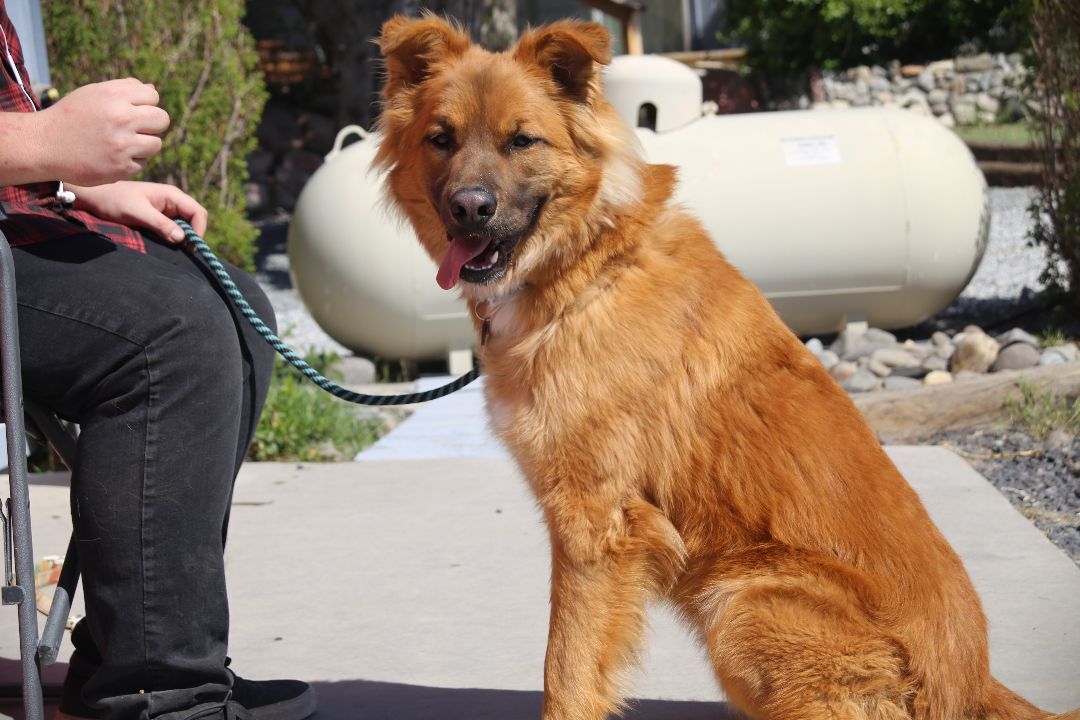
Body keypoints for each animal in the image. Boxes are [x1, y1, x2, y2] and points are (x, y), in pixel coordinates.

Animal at [375, 15, 1075, 720]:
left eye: (522, 140)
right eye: (441, 139)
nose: (470, 207)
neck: (587, 268)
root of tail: (973, 684)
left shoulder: (596, 522)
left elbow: (566, 668)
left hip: (744, 602)